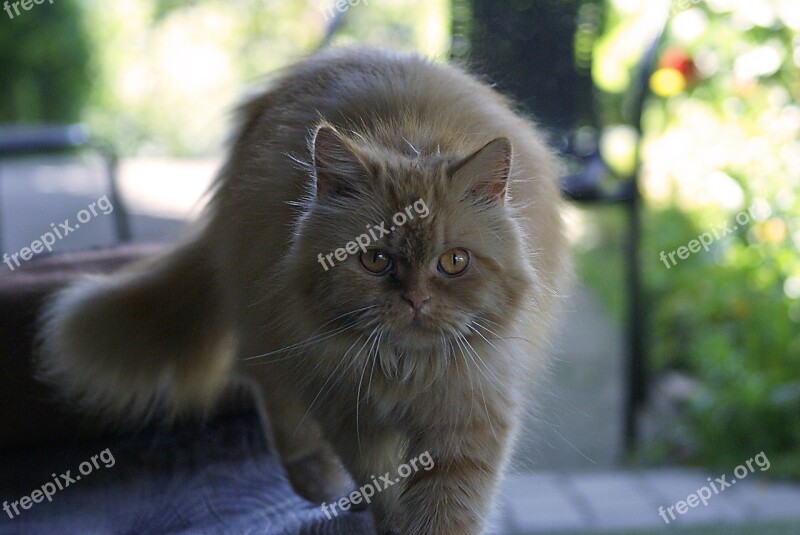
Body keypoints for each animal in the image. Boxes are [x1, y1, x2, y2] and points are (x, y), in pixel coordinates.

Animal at [36, 47, 564, 535]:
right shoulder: (349, 410)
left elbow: (446, 508)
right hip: (269, 322)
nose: (416, 300)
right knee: (262, 381)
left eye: (454, 262)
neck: (403, 370)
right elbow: (384, 486)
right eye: (375, 260)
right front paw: (386, 517)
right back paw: (317, 480)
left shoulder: (470, 412)